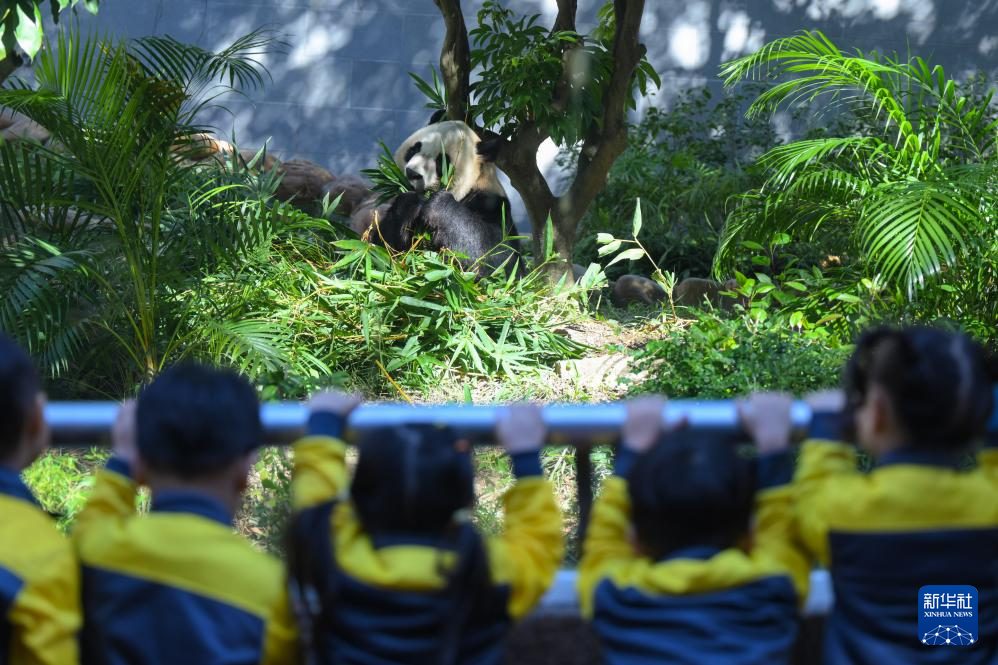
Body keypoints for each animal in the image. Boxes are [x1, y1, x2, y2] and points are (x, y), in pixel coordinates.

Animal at [368, 120, 524, 274]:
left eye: (441, 161)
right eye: (414, 149)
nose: (412, 173)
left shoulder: (493, 204)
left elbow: (497, 257)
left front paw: (439, 206)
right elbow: (381, 248)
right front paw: (411, 202)